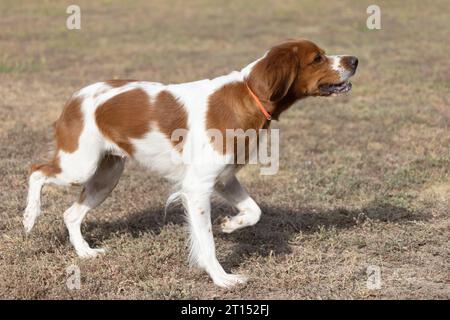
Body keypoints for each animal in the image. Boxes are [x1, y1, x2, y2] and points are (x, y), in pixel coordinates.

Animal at [25, 39, 358, 288]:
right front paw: (222, 278)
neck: (249, 95)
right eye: (317, 58)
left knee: (70, 214)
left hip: (106, 176)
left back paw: (84, 252)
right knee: (36, 171)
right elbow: (207, 243)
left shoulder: (224, 179)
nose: (354, 60)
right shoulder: (198, 187)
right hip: (79, 166)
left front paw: (231, 224)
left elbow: (254, 211)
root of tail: (75, 96)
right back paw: (29, 217)